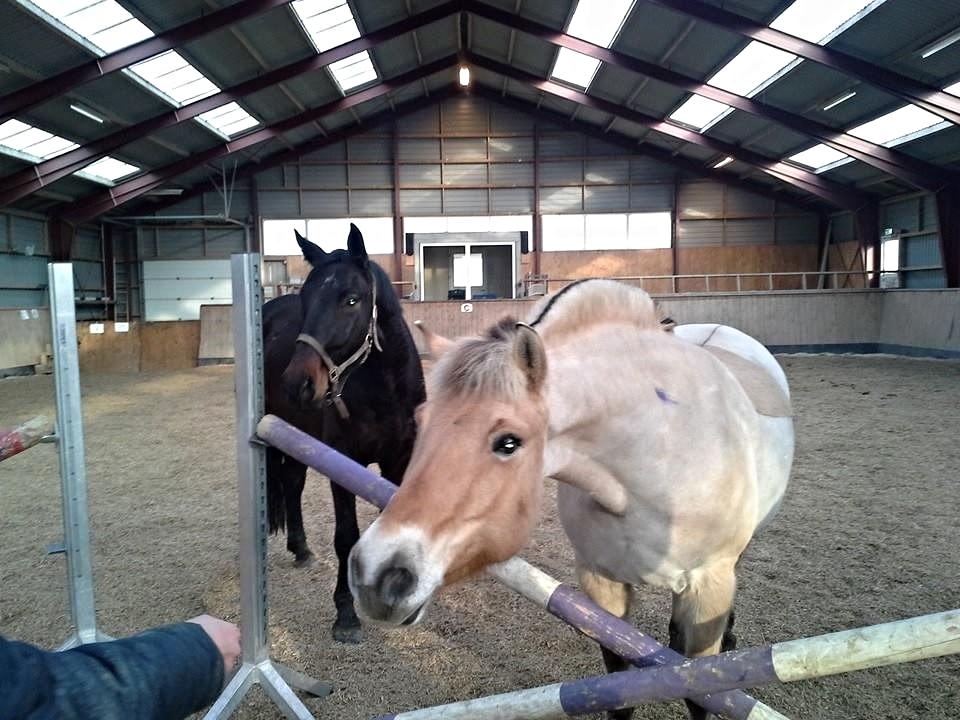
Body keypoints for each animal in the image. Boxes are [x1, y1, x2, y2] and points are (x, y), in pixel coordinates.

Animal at [262, 223, 425, 643]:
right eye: (306, 298)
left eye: (351, 300)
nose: (297, 383)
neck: (384, 392)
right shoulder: (343, 462)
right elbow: (346, 536)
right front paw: (346, 614)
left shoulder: (398, 463)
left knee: (292, 481)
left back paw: (301, 549)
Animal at [347, 279, 793, 718]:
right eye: (420, 420)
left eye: (509, 443)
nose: (375, 573)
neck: (661, 453)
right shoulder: (600, 585)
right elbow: (618, 685)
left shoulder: (707, 588)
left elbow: (701, 691)